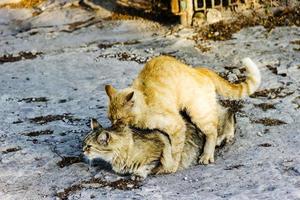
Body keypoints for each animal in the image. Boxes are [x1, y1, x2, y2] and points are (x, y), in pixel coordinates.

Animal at [104, 55, 258, 173]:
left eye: (119, 119)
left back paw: (207, 155)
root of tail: (200, 70)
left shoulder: (177, 126)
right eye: (110, 119)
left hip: (198, 113)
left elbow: (175, 151)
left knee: (213, 130)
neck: (146, 103)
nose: (113, 127)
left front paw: (171, 167)